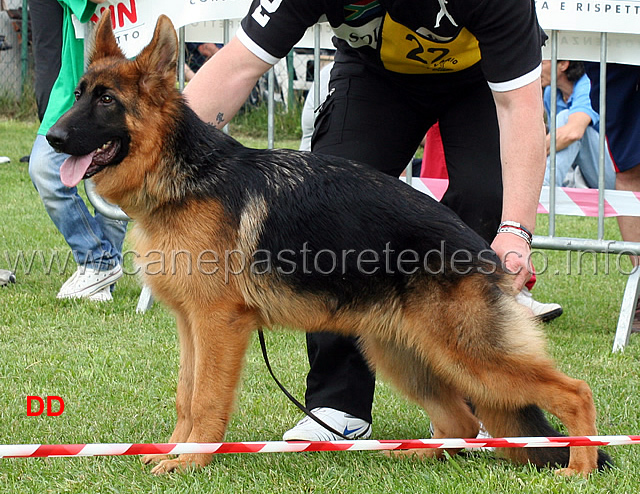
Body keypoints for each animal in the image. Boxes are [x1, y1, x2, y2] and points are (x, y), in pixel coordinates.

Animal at [48, 12, 608, 474]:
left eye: (106, 100)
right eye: (78, 95)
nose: (52, 139)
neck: (186, 174)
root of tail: (484, 254)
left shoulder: (218, 326)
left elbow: (205, 399)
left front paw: (188, 462)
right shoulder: (191, 326)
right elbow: (186, 395)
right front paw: (175, 451)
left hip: (468, 354)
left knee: (575, 392)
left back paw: (578, 470)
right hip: (408, 357)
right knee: (461, 422)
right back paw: (433, 459)